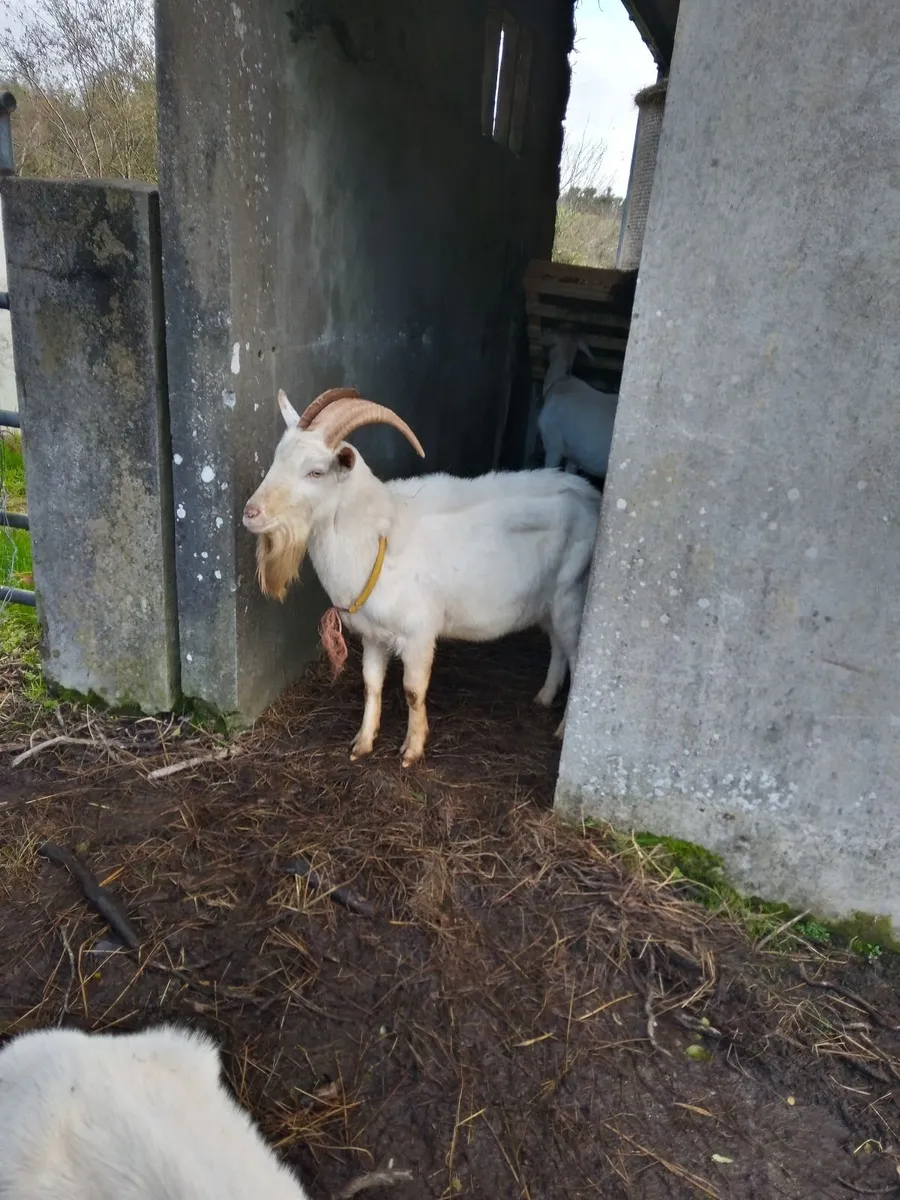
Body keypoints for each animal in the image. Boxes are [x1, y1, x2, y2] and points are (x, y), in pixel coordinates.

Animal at [243, 386, 602, 766]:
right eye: (277, 458)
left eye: (315, 472)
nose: (251, 513)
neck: (378, 536)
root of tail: (592, 497)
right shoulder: (373, 636)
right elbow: (371, 685)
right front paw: (362, 743)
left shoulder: (418, 634)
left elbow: (413, 691)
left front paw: (412, 751)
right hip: (547, 602)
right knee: (558, 646)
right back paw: (544, 697)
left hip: (572, 596)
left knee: (576, 656)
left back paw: (562, 729)